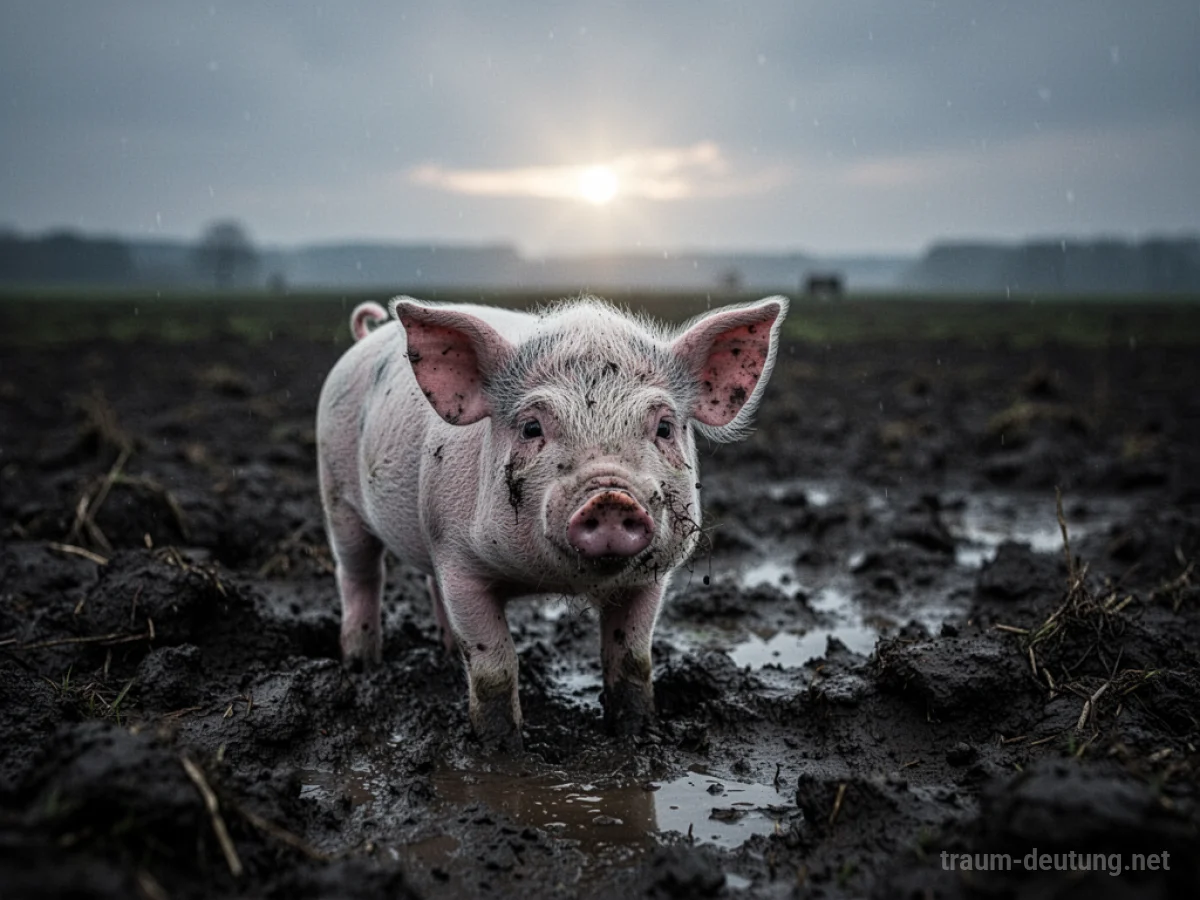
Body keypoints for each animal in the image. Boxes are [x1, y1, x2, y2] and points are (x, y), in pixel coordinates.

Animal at [316, 294, 788, 751]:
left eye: (665, 428)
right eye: (531, 428)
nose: (610, 497)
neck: (550, 581)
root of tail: (366, 337)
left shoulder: (649, 580)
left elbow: (632, 660)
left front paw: (637, 736)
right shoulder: (460, 563)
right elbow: (494, 666)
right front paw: (502, 752)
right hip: (338, 497)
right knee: (360, 575)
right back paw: (361, 666)